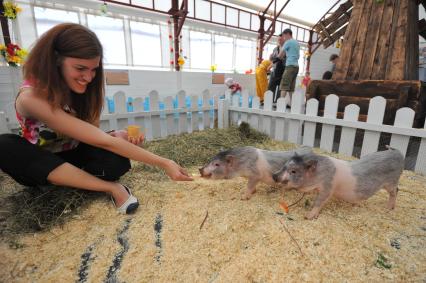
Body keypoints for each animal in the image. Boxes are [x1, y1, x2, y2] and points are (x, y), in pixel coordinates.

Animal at [272, 148, 404, 221]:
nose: (274, 175)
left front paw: (308, 216)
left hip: (392, 181)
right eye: (284, 165)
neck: (319, 175)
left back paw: (389, 208)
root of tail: (398, 153)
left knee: (396, 191)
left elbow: (319, 201)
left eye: (293, 171)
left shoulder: (328, 187)